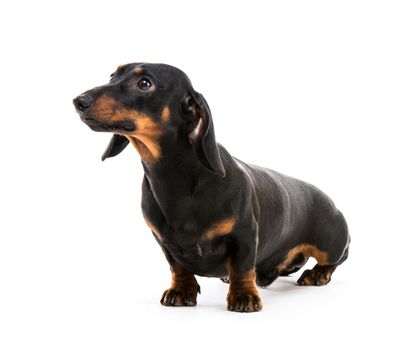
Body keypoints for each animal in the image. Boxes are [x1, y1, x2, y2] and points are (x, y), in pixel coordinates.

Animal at [72, 63, 348, 312]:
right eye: (112, 75)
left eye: (144, 83)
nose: (78, 101)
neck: (175, 180)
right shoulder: (163, 241)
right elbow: (178, 267)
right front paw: (181, 290)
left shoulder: (244, 234)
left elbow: (242, 267)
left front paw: (244, 295)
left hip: (331, 243)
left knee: (335, 260)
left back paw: (316, 274)